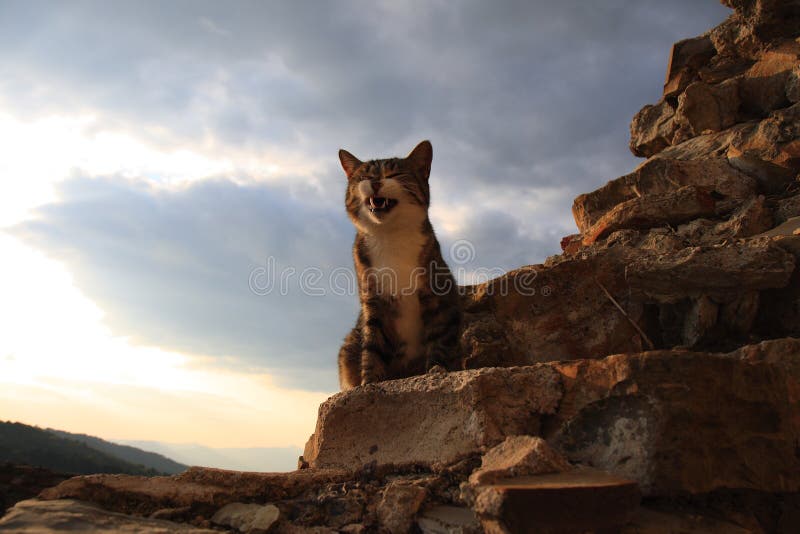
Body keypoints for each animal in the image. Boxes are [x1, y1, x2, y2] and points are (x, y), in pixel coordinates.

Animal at [338, 140, 462, 392]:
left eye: (394, 174)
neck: (389, 237)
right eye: (364, 176)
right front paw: (369, 382)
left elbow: (439, 339)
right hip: (348, 347)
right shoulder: (372, 298)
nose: (375, 182)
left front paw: (436, 371)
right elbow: (372, 344)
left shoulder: (437, 295)